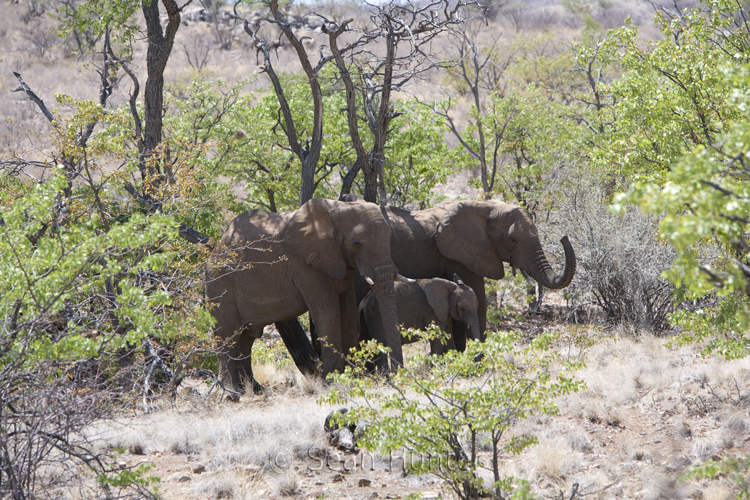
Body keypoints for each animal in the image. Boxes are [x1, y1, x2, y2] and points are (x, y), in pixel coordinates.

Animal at [204, 198, 404, 393]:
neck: (338, 209)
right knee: (228, 336)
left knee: (246, 338)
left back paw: (254, 389)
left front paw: (353, 378)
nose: (392, 378)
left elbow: (348, 314)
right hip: (220, 287)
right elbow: (328, 312)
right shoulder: (306, 267)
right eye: (357, 243)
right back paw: (231, 393)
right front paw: (332, 381)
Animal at [277, 199, 575, 362]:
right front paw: (474, 361)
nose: (564, 236)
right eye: (513, 240)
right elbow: (478, 299)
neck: (486, 206)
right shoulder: (459, 255)